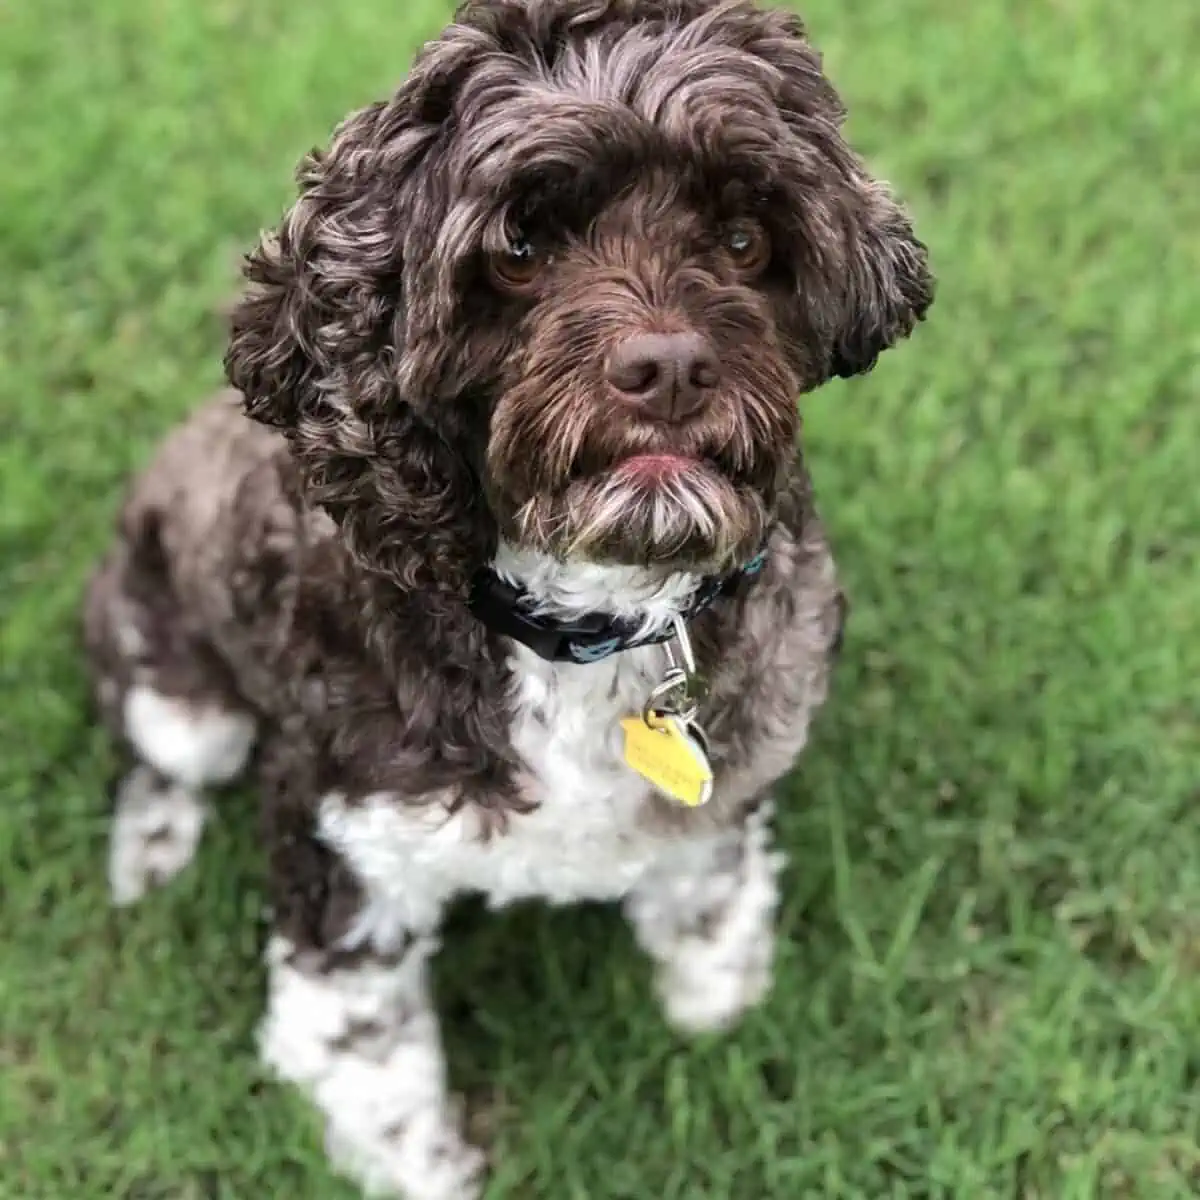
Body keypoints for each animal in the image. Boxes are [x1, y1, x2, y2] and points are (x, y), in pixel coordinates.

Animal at [84, 0, 931, 1195]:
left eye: (743, 240)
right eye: (520, 248)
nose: (670, 368)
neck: (591, 623)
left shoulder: (750, 735)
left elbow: (710, 884)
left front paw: (714, 992)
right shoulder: (347, 851)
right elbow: (370, 1056)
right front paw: (426, 1164)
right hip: (180, 690)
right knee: (154, 748)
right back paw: (149, 848)